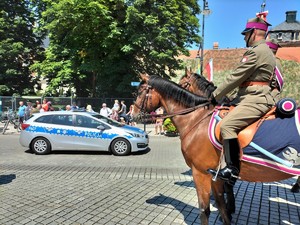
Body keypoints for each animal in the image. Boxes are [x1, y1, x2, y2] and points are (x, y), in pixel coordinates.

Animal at [133, 73, 298, 224]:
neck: (197, 119)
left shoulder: (200, 173)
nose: (132, 115)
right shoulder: (216, 175)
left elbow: (204, 209)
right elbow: (221, 204)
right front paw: (228, 212)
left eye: (140, 91)